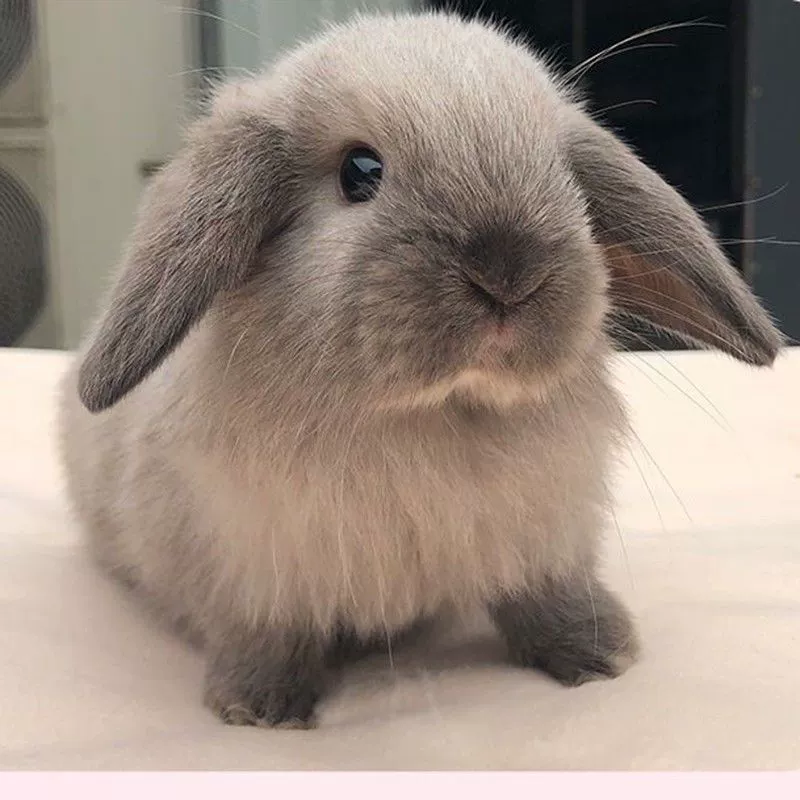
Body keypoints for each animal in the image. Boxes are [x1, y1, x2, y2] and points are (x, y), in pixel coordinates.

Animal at [58, 11, 782, 729]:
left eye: (565, 177)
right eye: (359, 171)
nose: (509, 274)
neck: (433, 416)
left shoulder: (546, 540)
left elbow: (550, 597)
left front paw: (601, 654)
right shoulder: (254, 570)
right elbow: (266, 634)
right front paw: (260, 709)